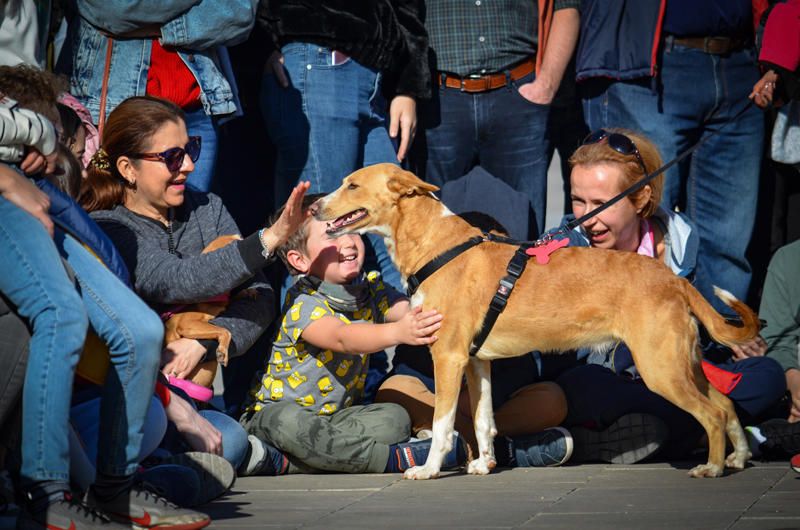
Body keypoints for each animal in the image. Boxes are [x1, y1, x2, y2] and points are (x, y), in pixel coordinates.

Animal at [316, 162, 760, 478]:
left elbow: (443, 424)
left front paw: (428, 469)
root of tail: (672, 279)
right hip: (685, 363)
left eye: (352, 185)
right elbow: (484, 419)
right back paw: (737, 460)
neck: (436, 245)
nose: (315, 205)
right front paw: (484, 464)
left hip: (660, 368)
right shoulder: (477, 361)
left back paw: (712, 467)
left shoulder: (448, 356)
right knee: (726, 404)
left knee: (712, 414)